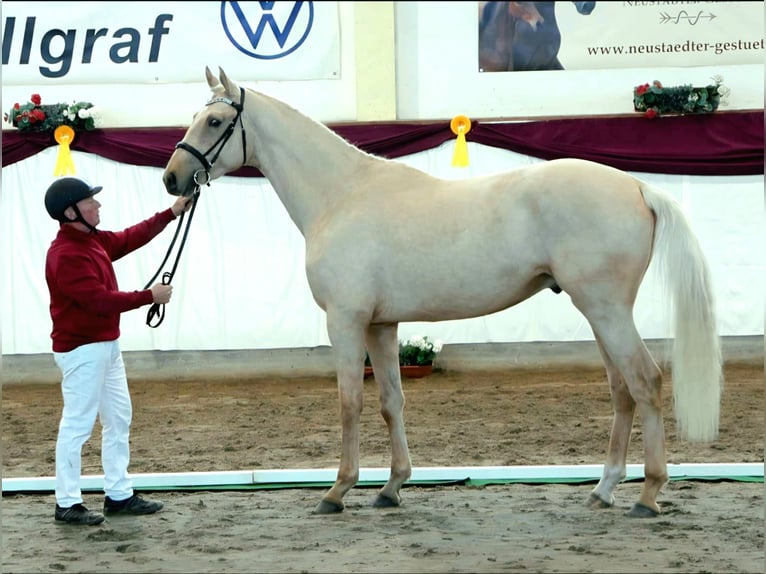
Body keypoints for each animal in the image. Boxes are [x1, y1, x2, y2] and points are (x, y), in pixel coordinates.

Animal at [162, 67, 722, 518]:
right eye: (194, 116)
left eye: (215, 122)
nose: (173, 179)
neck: (341, 195)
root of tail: (637, 187)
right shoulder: (380, 325)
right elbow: (391, 401)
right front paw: (391, 488)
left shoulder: (345, 320)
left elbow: (350, 403)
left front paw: (337, 491)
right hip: (600, 313)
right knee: (622, 390)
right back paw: (603, 490)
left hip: (606, 310)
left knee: (645, 381)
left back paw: (647, 496)